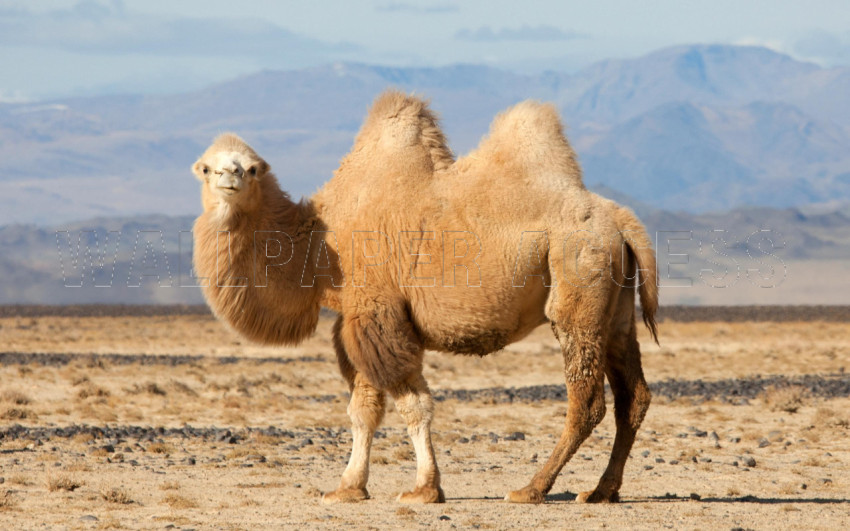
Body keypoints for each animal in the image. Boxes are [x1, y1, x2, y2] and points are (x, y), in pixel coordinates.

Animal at [191, 90, 658, 505]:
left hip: (577, 283)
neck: (320, 242)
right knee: (633, 396)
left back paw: (532, 489)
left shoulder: (378, 312)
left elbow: (412, 405)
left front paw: (424, 489)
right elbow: (364, 409)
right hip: (616, 310)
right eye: (207, 168)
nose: (230, 177)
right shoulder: (357, 320)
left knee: (587, 401)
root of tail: (621, 219)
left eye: (252, 168)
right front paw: (348, 488)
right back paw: (600, 491)